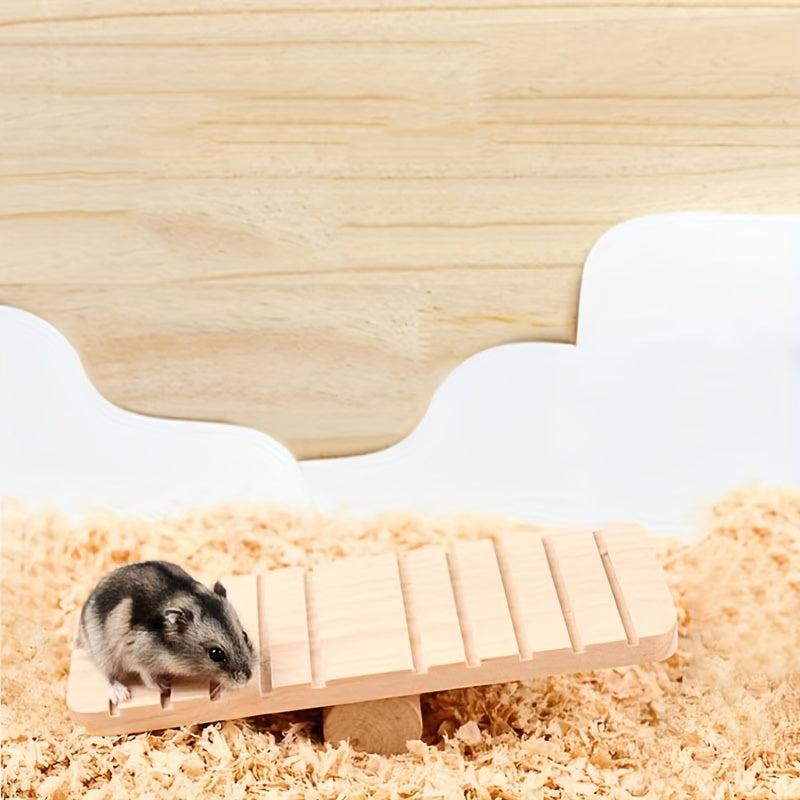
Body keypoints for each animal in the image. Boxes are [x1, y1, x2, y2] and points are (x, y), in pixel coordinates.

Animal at [77, 561, 257, 705]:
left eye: (245, 635)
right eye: (216, 654)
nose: (247, 678)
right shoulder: (137, 657)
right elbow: (147, 677)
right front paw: (165, 687)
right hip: (102, 650)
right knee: (108, 675)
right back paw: (122, 694)